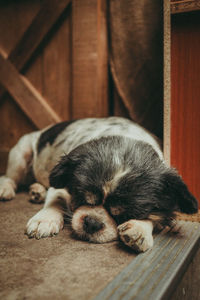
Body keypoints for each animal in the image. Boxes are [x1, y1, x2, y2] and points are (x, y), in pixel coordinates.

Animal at [0, 118, 198, 253]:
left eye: (125, 214)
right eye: (81, 197)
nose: (92, 222)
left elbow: (155, 217)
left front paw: (139, 229)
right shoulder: (59, 186)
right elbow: (56, 201)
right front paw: (45, 219)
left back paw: (37, 191)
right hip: (20, 154)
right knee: (10, 177)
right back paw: (6, 188)